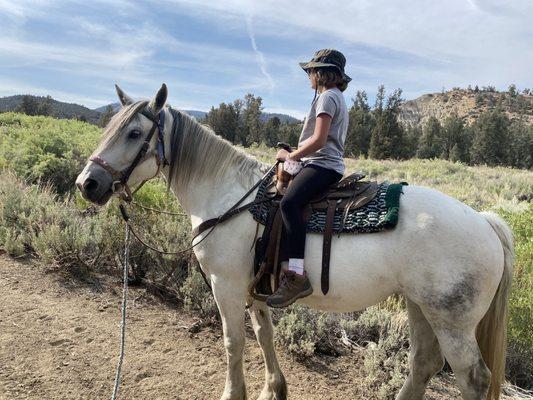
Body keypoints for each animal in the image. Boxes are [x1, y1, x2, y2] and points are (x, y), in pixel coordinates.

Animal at [75, 85, 512, 400]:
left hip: (452, 321)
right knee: (423, 364)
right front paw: (274, 390)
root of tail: (485, 222)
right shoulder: (255, 287)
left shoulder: (225, 285)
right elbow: (263, 334)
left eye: (134, 132)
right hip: (421, 307)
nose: (87, 184)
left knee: (472, 378)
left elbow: (233, 342)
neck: (229, 196)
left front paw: (234, 394)